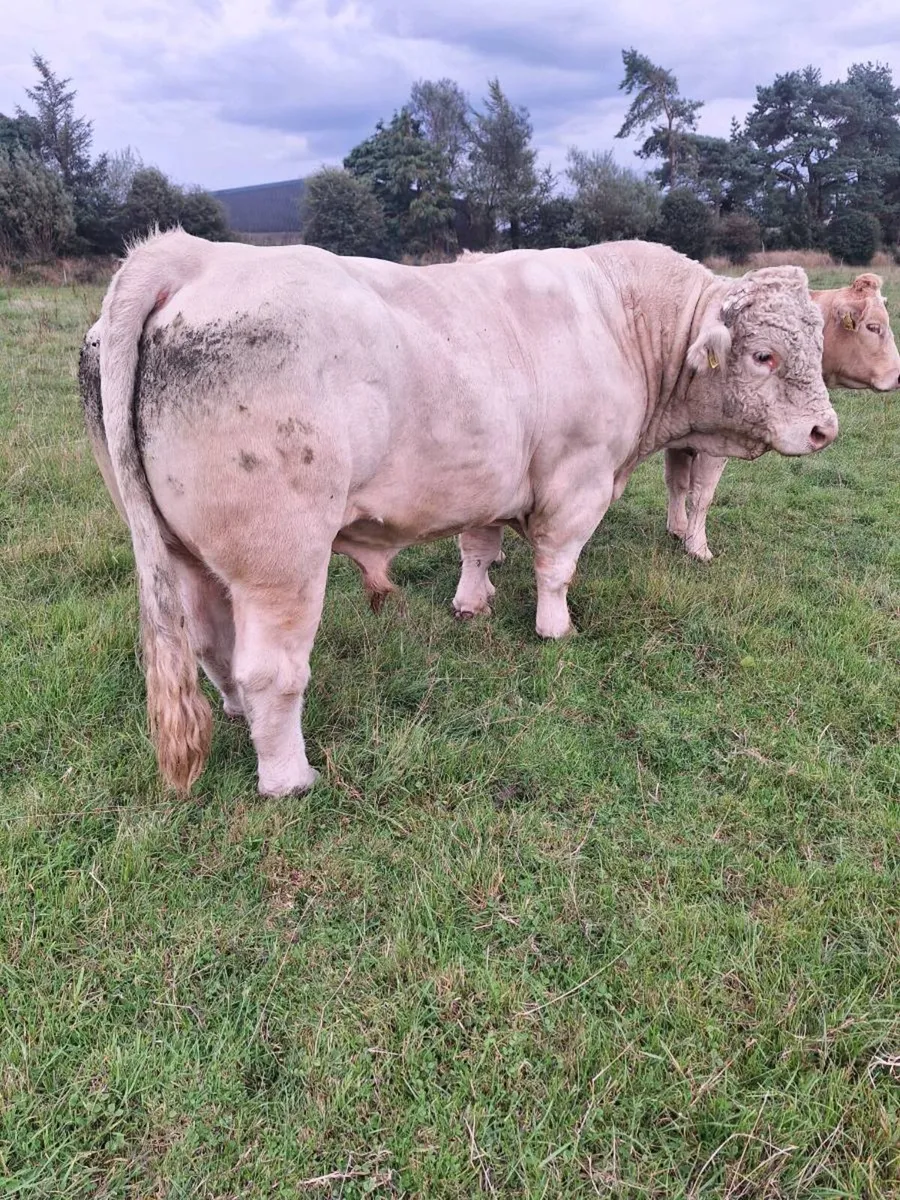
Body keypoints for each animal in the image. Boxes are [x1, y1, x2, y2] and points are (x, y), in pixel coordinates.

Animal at [81, 231, 838, 797]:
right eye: (765, 355)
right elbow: (557, 565)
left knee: (213, 647)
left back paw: (237, 717)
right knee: (269, 670)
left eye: (818, 345)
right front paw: (555, 629)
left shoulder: (490, 477)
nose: (824, 430)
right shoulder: (578, 480)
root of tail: (193, 254)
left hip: (186, 553)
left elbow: (477, 544)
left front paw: (472, 603)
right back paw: (289, 778)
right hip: (279, 560)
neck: (622, 321)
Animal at [664, 271, 900, 560]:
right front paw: (697, 547)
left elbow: (677, 483)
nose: (899, 376)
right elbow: (701, 494)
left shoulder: (679, 437)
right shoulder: (714, 444)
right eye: (874, 327)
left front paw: (679, 528)